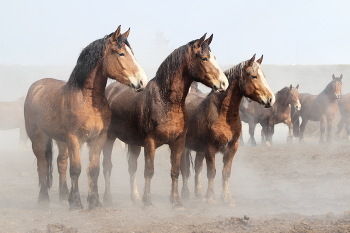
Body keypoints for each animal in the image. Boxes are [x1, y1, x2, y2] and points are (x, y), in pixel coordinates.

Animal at [22, 26, 146, 210]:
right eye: (121, 53)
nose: (142, 81)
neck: (87, 100)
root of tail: (36, 87)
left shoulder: (98, 138)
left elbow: (93, 170)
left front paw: (94, 202)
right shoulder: (74, 138)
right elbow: (76, 169)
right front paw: (76, 203)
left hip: (61, 141)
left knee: (61, 162)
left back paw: (63, 196)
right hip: (38, 137)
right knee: (42, 163)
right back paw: (43, 199)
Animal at [102, 32, 228, 208]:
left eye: (214, 57)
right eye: (204, 58)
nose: (224, 83)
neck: (165, 101)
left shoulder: (178, 142)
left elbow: (175, 171)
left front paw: (176, 202)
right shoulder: (150, 142)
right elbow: (149, 171)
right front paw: (148, 202)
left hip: (133, 143)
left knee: (132, 167)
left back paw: (135, 197)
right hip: (109, 138)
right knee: (107, 166)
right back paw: (108, 199)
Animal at [180, 54, 276, 204]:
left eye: (264, 76)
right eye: (254, 76)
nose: (271, 99)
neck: (223, 115)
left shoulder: (232, 147)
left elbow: (226, 172)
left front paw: (227, 198)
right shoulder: (210, 148)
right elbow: (211, 172)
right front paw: (211, 198)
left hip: (199, 149)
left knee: (197, 167)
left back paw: (199, 193)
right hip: (185, 147)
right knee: (184, 168)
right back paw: (186, 193)